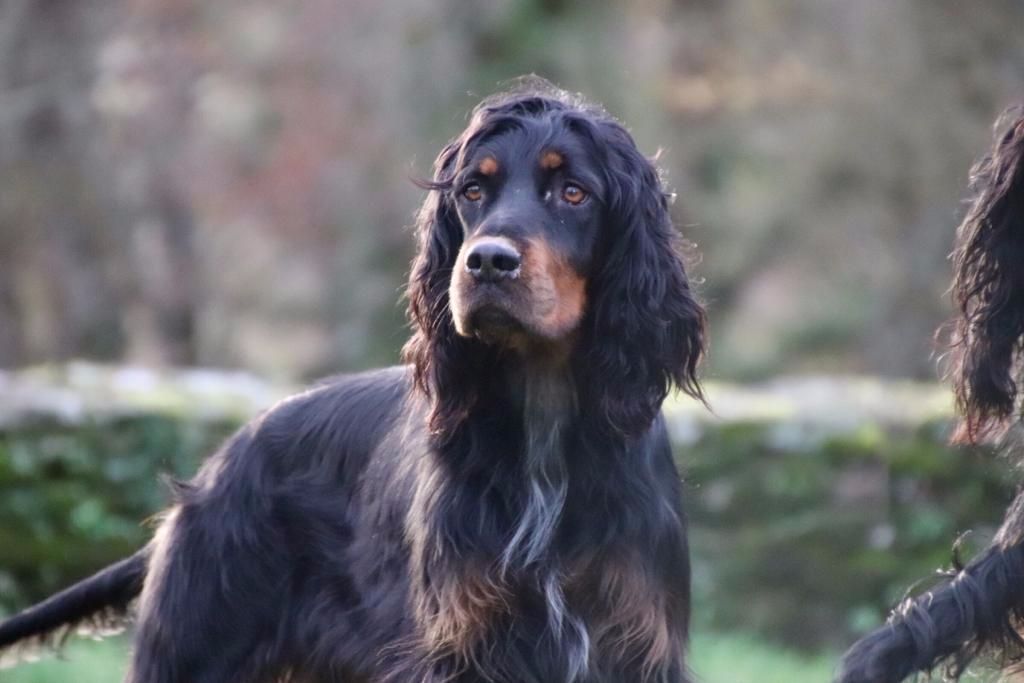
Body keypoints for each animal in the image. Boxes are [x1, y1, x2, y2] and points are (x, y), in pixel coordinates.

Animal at [0, 81, 708, 683]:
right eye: (473, 192)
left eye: (574, 193)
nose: (486, 261)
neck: (545, 420)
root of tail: (210, 477)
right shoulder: (463, 644)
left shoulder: (631, 639)